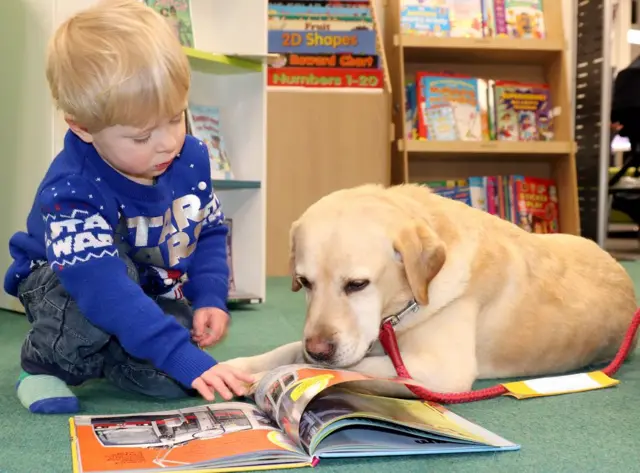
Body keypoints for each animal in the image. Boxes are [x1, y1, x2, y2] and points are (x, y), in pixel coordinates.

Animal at [221, 184, 640, 394]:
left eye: (357, 284)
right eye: (305, 282)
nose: (320, 348)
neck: (400, 308)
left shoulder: (441, 369)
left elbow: (349, 365)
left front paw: (275, 376)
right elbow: (288, 349)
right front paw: (237, 367)